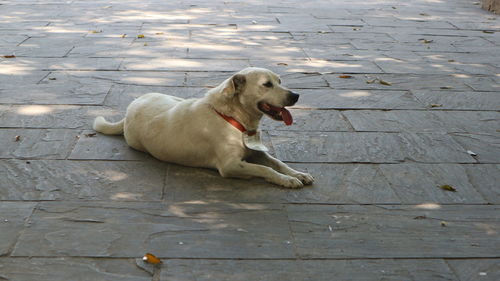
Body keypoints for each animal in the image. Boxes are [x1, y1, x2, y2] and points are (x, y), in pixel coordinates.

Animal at [93, 66, 312, 187]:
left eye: (279, 81)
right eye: (267, 84)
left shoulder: (256, 153)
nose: (296, 95)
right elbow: (265, 169)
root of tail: (130, 108)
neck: (233, 117)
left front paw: (297, 174)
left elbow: (277, 163)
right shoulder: (231, 165)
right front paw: (286, 180)